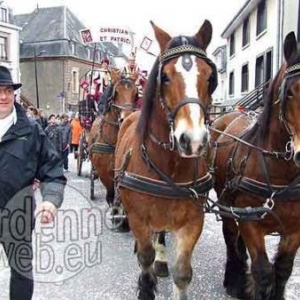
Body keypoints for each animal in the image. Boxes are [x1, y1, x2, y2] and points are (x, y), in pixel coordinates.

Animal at [114, 19, 216, 298]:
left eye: (210, 77)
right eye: (166, 77)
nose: (192, 140)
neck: (168, 167)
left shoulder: (193, 221)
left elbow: (182, 273)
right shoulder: (138, 218)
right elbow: (145, 257)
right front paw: (145, 286)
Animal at [211, 31, 300, 298]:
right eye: (289, 92)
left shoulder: (295, 229)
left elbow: (282, 270)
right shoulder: (251, 222)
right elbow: (263, 271)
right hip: (225, 202)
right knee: (231, 238)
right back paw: (233, 279)